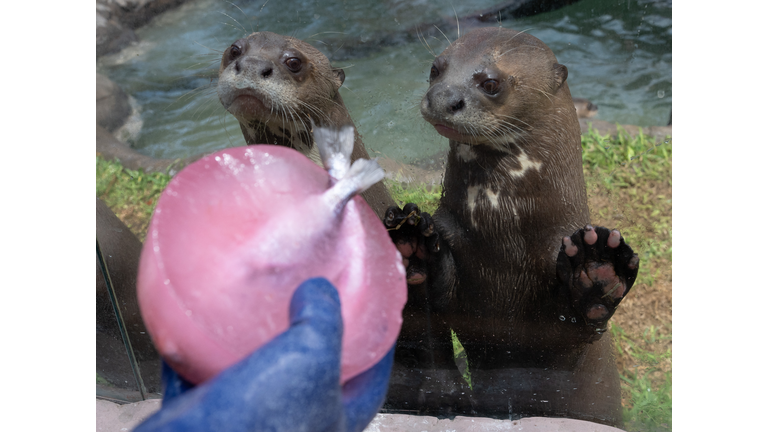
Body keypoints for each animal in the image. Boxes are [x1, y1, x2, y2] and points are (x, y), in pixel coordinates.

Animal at [384, 27, 640, 426]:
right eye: (436, 69)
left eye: (491, 83)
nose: (442, 98)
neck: (504, 240)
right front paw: (413, 247)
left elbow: (573, 331)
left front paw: (596, 270)